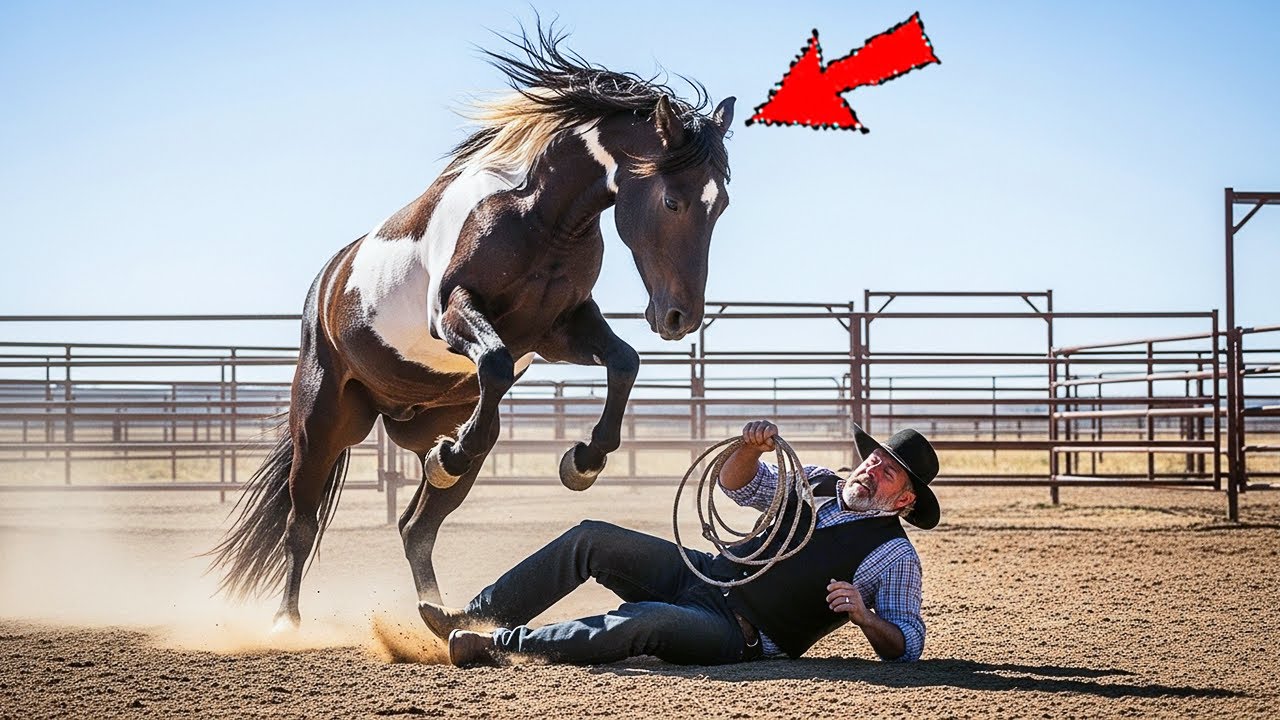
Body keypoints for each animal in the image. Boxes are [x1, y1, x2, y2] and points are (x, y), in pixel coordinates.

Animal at [207, 27, 735, 629]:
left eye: (721, 204)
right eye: (672, 199)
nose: (679, 317)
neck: (538, 214)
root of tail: (329, 281)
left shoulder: (560, 327)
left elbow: (623, 362)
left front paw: (582, 461)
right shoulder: (456, 313)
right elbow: (497, 364)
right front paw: (459, 455)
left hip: (419, 427)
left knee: (416, 526)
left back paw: (438, 608)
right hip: (322, 422)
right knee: (302, 524)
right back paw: (287, 621)